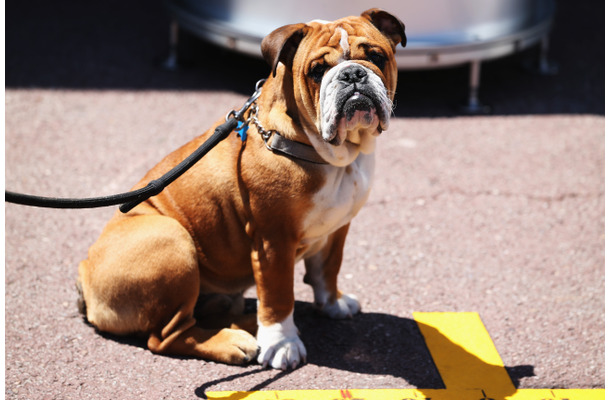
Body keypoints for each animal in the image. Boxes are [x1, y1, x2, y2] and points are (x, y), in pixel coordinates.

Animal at [78, 9, 406, 370]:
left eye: (376, 57)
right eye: (317, 71)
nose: (352, 74)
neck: (334, 156)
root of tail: (84, 276)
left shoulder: (337, 229)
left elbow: (328, 270)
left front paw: (332, 304)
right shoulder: (273, 241)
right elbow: (278, 294)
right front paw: (282, 343)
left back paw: (247, 323)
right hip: (171, 241)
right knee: (168, 335)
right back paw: (236, 341)